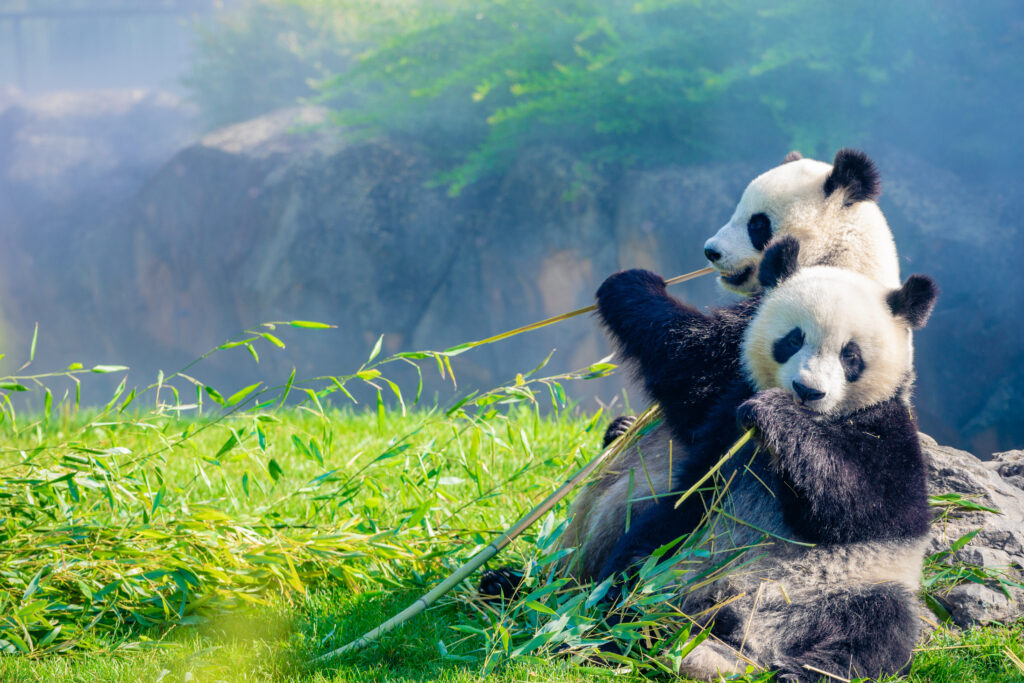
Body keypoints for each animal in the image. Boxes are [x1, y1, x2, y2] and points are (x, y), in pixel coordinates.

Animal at [548, 148, 909, 581]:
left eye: (758, 224)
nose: (711, 252)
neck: (845, 256)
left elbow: (697, 372)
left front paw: (628, 282)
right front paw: (619, 425)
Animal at [598, 241, 937, 683]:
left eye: (851, 355)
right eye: (792, 339)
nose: (807, 391)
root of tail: (747, 637)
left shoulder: (890, 432)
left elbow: (866, 504)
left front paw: (775, 414)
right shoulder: (726, 411)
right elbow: (687, 371)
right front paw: (631, 284)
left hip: (855, 584)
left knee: (877, 630)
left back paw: (801, 671)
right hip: (683, 549)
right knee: (636, 565)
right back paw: (618, 627)